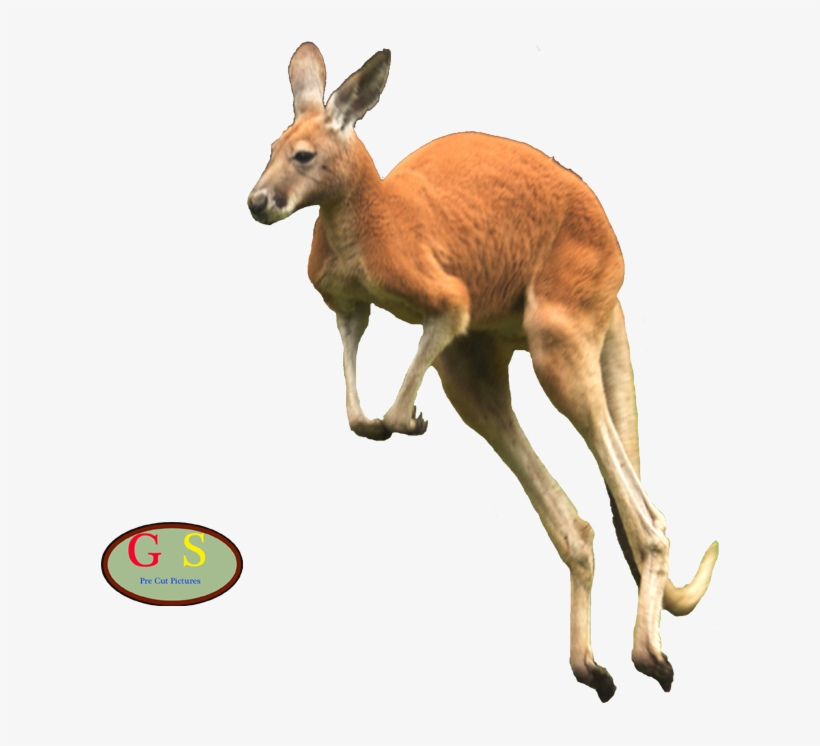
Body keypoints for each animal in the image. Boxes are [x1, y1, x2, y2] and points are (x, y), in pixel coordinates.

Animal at [247, 42, 719, 702]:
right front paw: (374, 423)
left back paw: (649, 656)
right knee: (572, 521)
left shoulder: (446, 295)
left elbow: (423, 342)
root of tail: (614, 282)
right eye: (269, 148)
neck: (364, 211)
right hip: (481, 363)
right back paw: (592, 669)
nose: (257, 204)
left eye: (304, 156)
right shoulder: (348, 303)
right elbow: (351, 371)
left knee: (646, 517)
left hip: (558, 327)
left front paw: (404, 420)